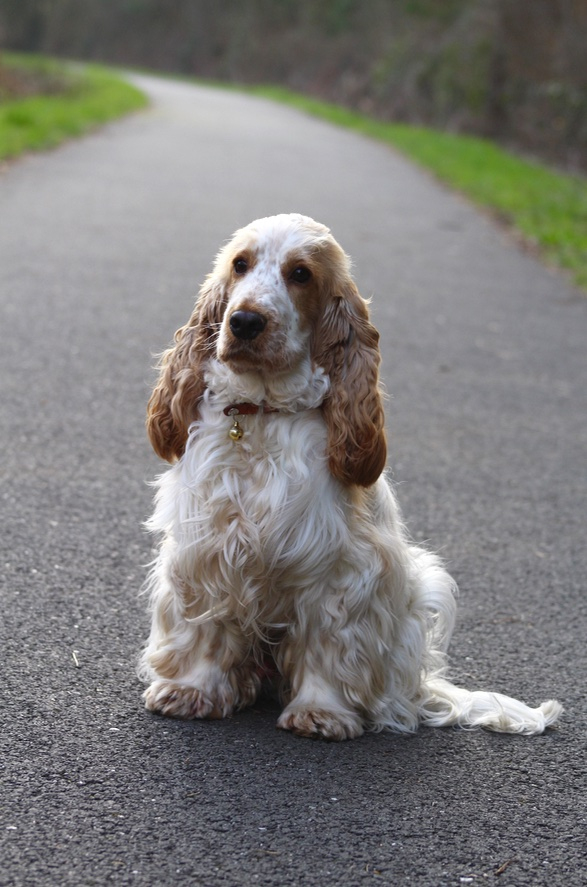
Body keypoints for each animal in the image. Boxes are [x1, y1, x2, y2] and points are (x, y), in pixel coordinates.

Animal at [139, 215, 564, 744]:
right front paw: (191, 691)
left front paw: (322, 713)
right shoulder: (208, 546)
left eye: (300, 274)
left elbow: (329, 645)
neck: (264, 413)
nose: (244, 322)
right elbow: (204, 629)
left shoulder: (341, 570)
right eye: (240, 264)